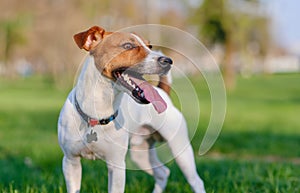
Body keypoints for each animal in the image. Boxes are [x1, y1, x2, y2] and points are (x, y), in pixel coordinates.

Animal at [57, 26, 205, 193]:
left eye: (150, 46)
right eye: (128, 46)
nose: (168, 61)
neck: (97, 113)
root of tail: (162, 92)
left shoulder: (117, 165)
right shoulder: (71, 162)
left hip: (180, 150)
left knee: (196, 181)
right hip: (141, 154)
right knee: (162, 172)